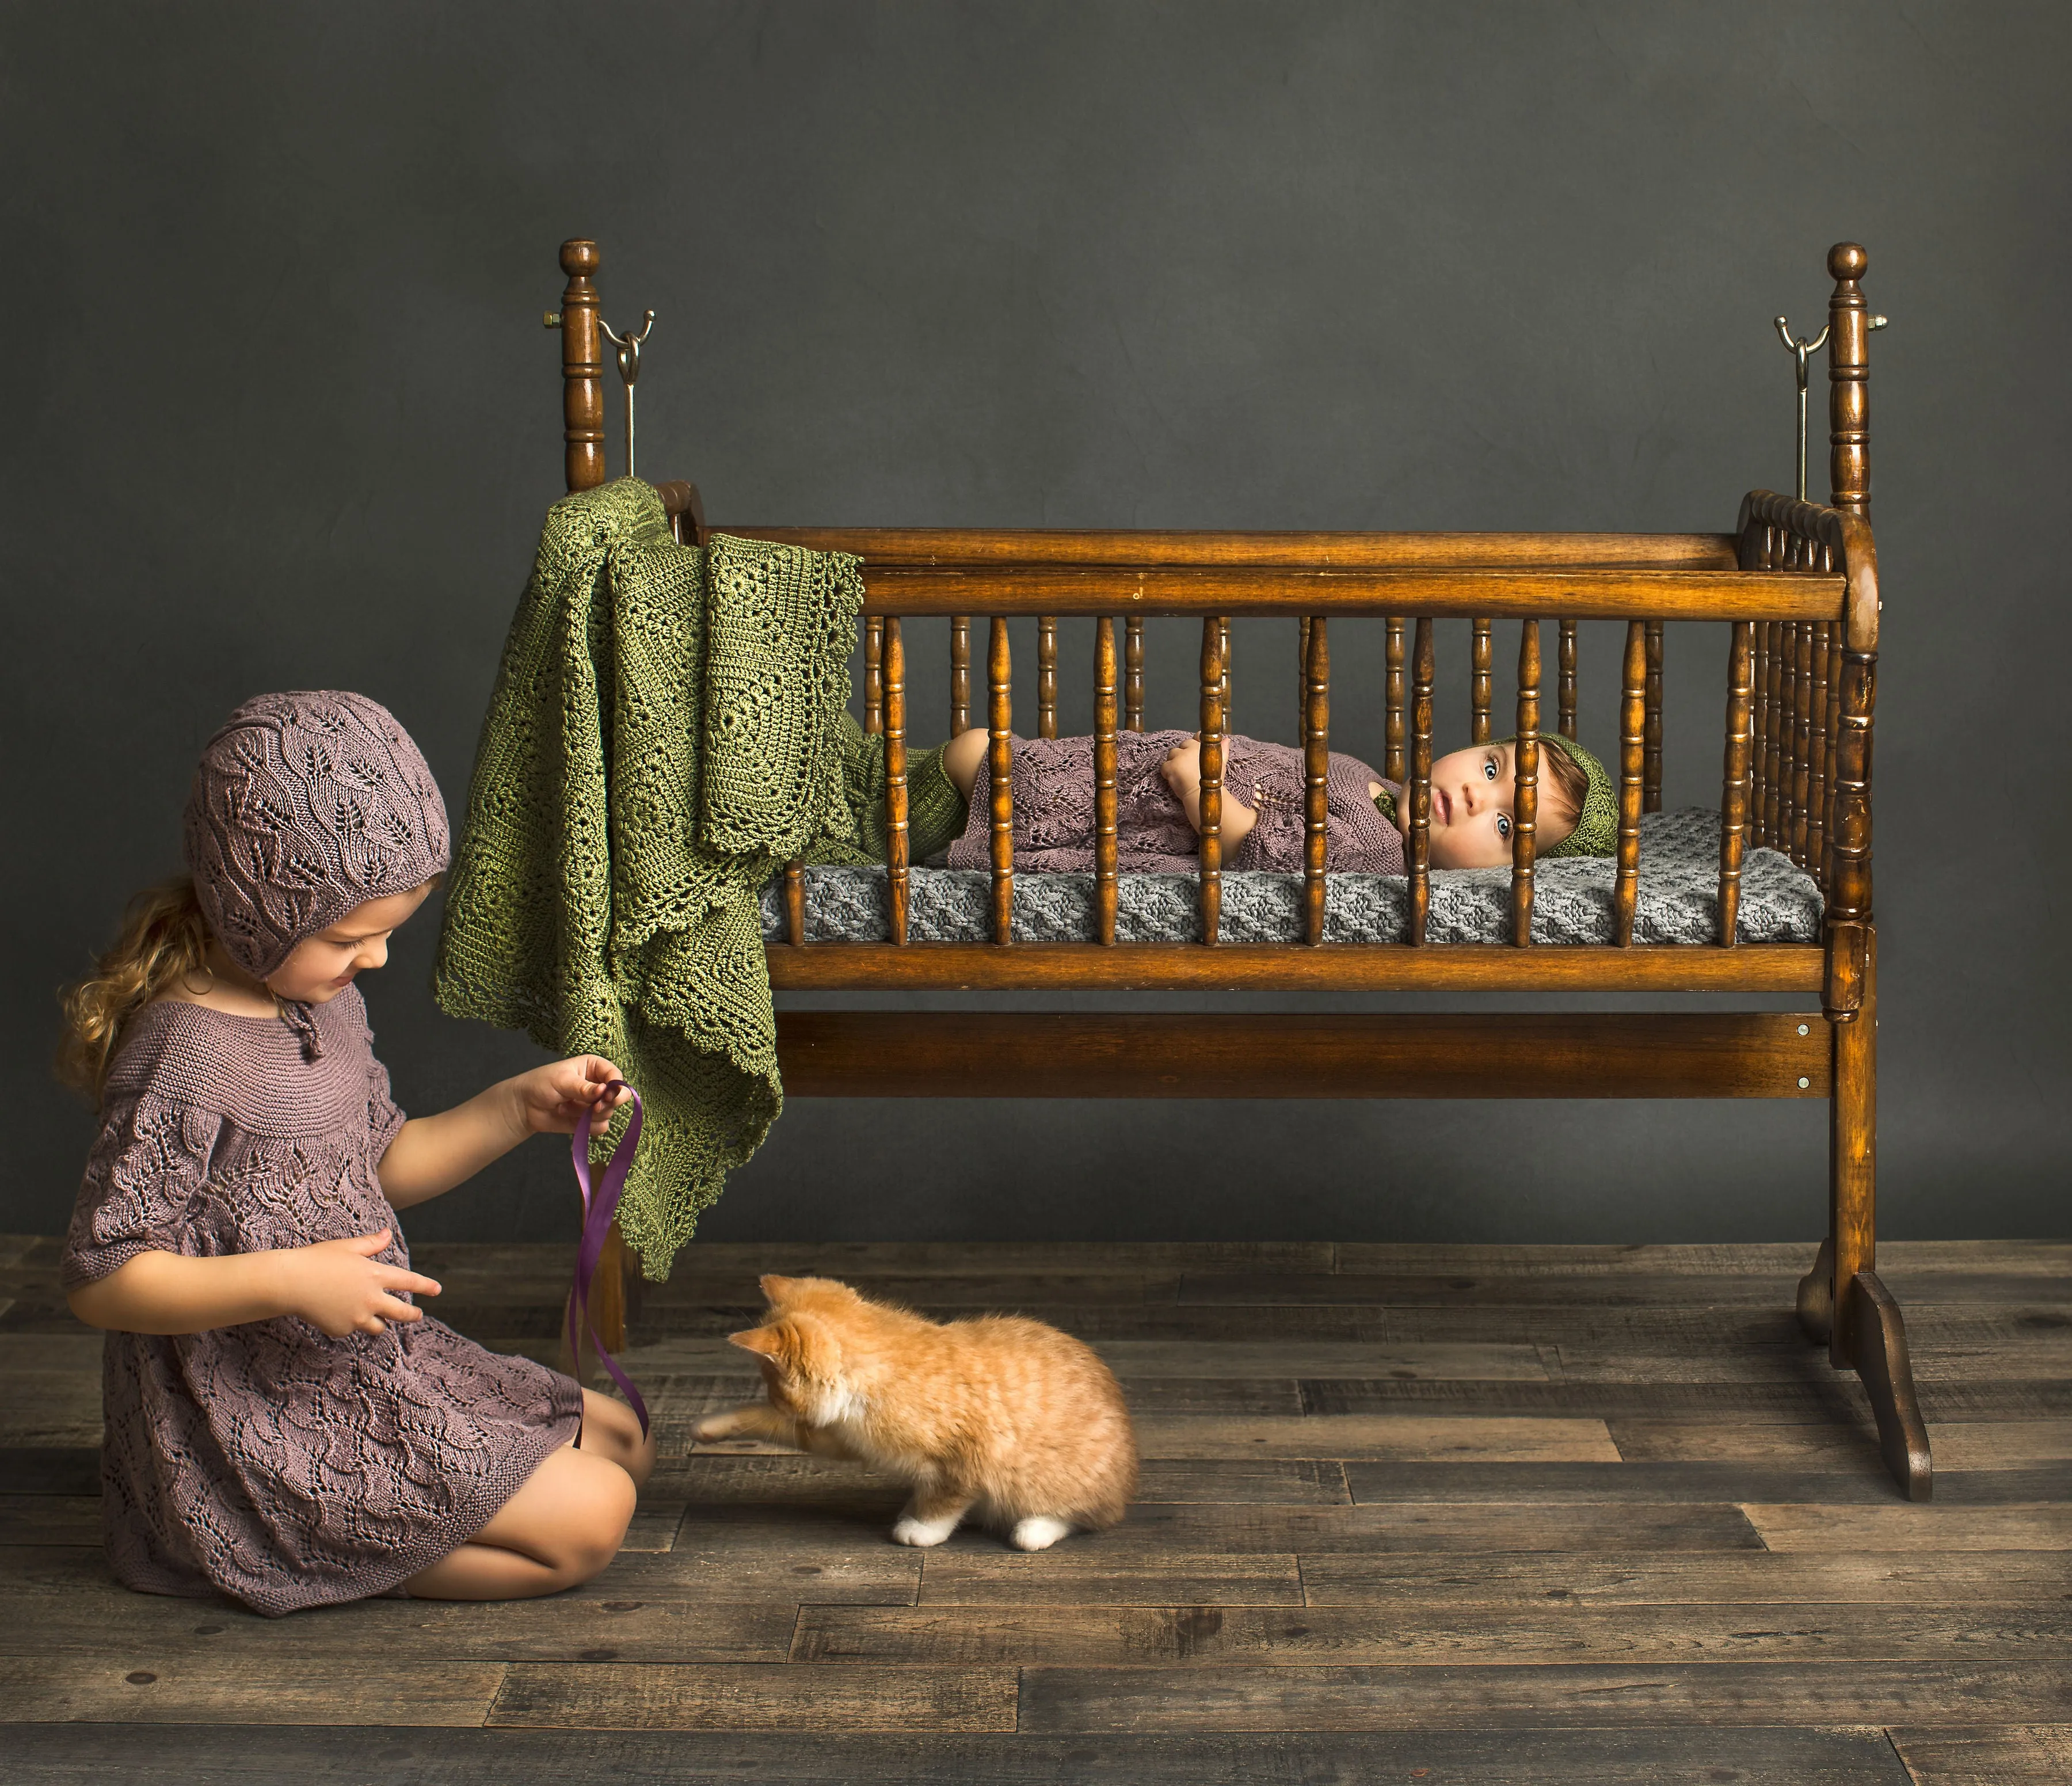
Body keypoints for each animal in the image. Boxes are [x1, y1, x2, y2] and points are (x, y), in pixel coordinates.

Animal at [700, 1276, 1152, 1549]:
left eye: (774, 1383)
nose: (776, 1399)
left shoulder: (968, 1458)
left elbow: (947, 1497)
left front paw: (922, 1527)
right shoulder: (846, 1437)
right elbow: (782, 1428)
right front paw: (711, 1426)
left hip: (1061, 1483)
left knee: (1084, 1516)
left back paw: (1036, 1528)